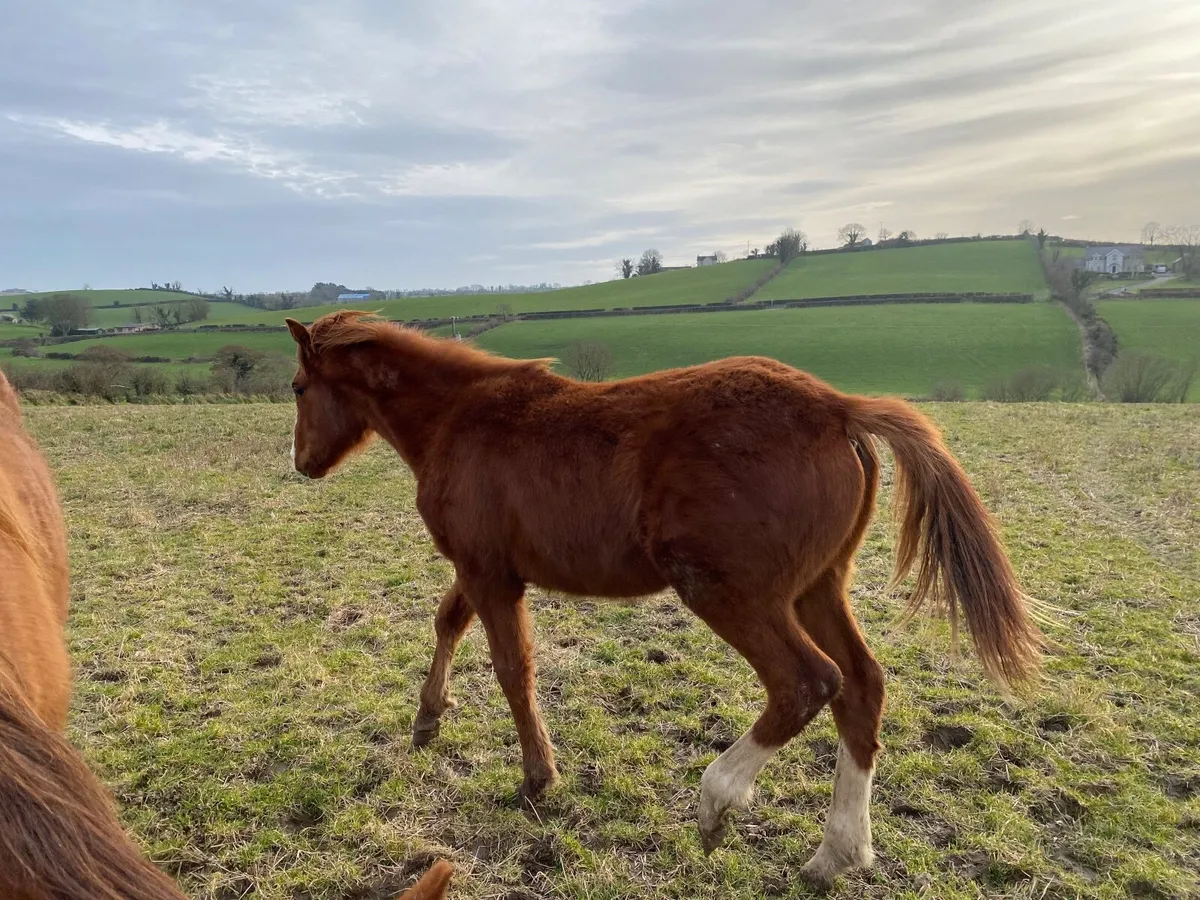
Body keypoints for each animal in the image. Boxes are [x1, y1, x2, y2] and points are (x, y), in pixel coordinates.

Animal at [285, 310, 1042, 884]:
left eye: (295, 386)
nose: (302, 464)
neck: (459, 418)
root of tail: (838, 409)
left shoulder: (488, 572)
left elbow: (512, 669)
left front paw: (537, 779)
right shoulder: (485, 569)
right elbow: (448, 622)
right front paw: (427, 720)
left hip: (729, 591)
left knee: (806, 682)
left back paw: (718, 800)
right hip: (817, 588)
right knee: (861, 684)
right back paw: (835, 854)